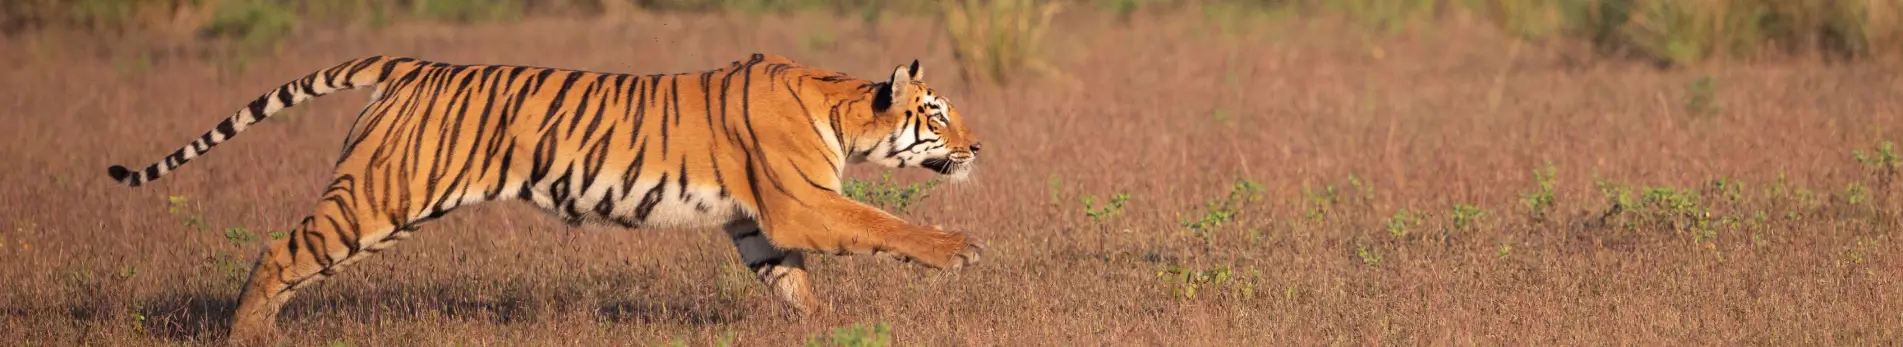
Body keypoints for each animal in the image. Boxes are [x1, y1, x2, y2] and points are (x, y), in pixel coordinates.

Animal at [106, 52, 989, 343]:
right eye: (938, 112)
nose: (979, 147)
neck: (843, 107)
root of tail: (408, 66)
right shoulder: (798, 204)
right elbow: (884, 222)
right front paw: (961, 249)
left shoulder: (757, 225)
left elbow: (793, 281)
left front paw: (825, 327)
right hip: (380, 197)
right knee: (279, 248)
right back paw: (244, 335)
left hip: (377, 210)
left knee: (298, 259)